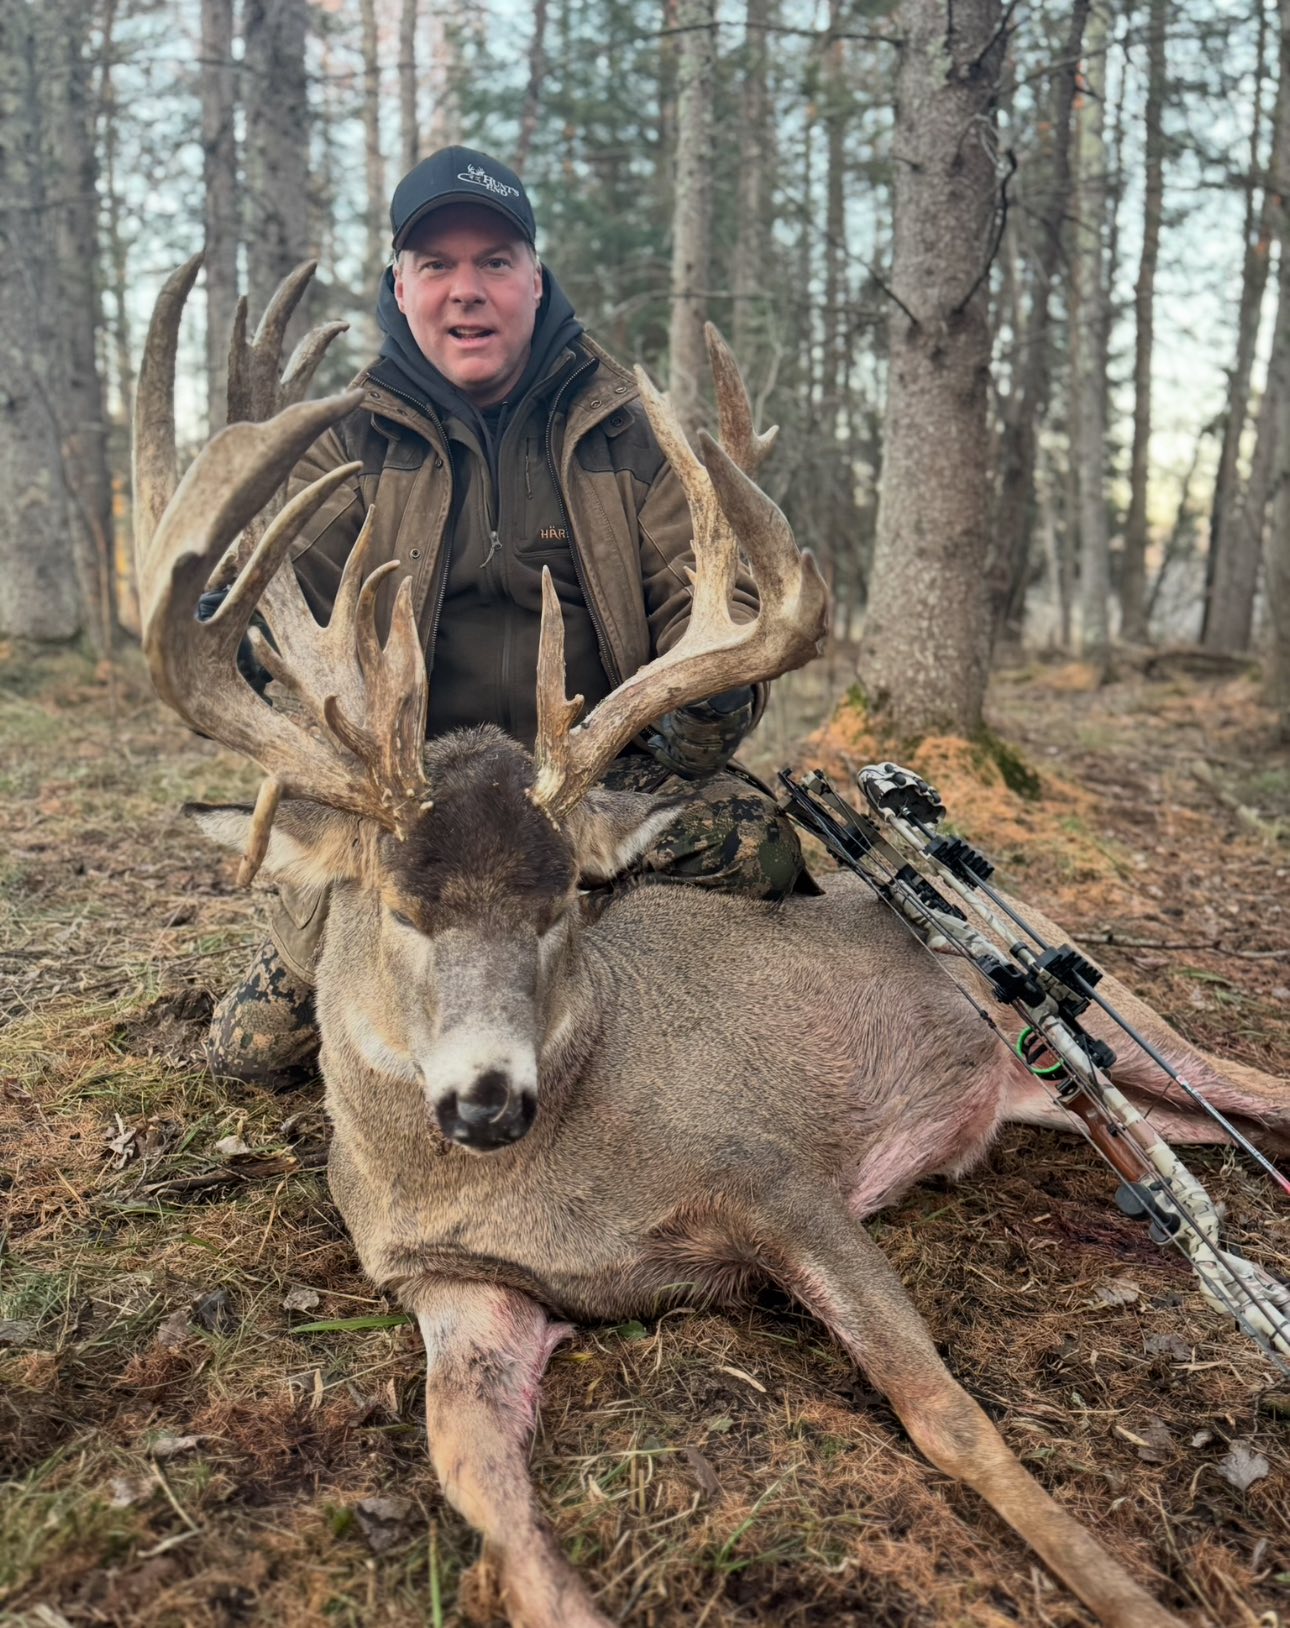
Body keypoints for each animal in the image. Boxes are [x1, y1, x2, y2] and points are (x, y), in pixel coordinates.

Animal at [134, 258, 1289, 1628]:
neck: (534, 1188)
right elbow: (480, 1487)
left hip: (1125, 1026)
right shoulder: (453, 1286)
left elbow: (948, 1413)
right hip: (1076, 1094)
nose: (486, 1099)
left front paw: (1131, 1600)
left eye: (568, 894)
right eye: (399, 903)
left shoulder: (776, 1172)